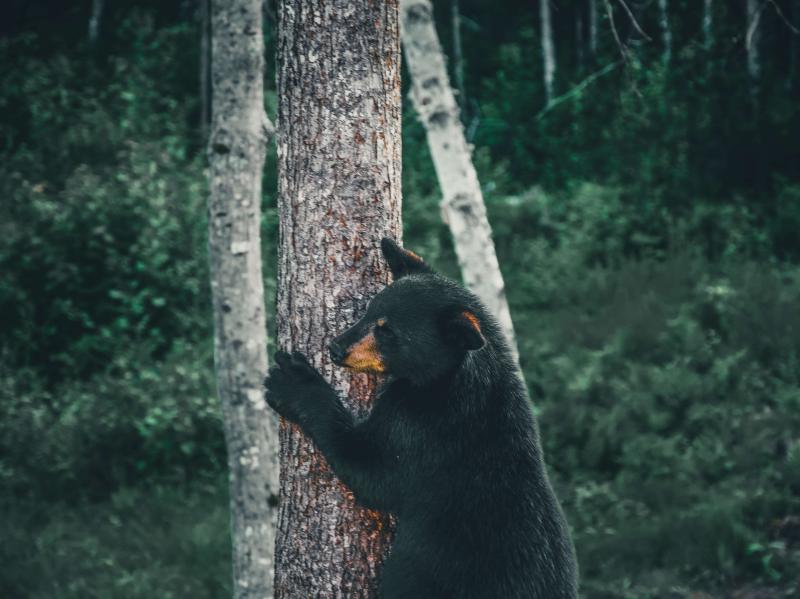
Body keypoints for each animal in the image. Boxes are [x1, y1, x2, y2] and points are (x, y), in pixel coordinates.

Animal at [266, 239, 580, 599]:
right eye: (369, 311)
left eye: (388, 332)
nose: (335, 347)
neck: (449, 379)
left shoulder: (427, 430)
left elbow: (372, 471)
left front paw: (292, 381)